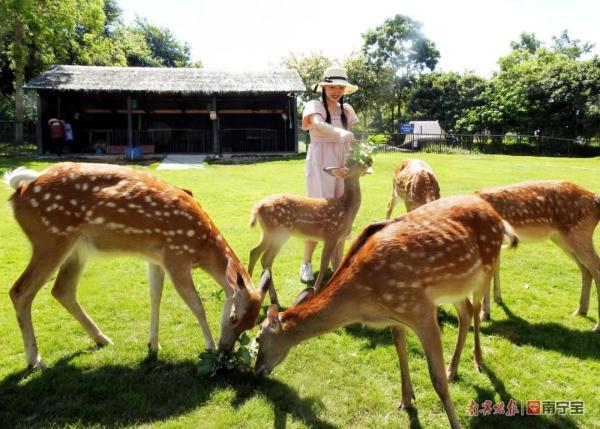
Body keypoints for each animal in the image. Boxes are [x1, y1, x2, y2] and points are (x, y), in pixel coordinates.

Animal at [3, 162, 270, 370]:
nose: (227, 350)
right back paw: (36, 360)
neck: (202, 246)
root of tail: (19, 188)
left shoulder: (156, 258)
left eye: (252, 323)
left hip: (77, 247)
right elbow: (196, 306)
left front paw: (153, 345)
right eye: (233, 317)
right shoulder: (176, 256)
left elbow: (155, 296)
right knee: (20, 290)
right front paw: (210, 348)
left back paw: (102, 339)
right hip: (50, 238)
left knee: (62, 289)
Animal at [247, 157, 370, 294]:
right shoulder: (331, 235)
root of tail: (257, 208)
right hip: (280, 231)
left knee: (254, 251)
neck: (346, 209)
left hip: (267, 233)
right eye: (359, 164)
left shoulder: (339, 238)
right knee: (266, 258)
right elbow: (323, 264)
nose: (369, 162)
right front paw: (316, 290)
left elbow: (338, 263)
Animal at [253, 196, 516, 428]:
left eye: (258, 339)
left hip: (486, 268)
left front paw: (454, 422)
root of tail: (498, 217)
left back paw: (478, 360)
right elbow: (400, 351)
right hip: (453, 288)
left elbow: (437, 380)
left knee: (477, 309)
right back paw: (453, 368)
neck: (365, 300)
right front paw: (406, 400)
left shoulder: (419, 309)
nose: (258, 371)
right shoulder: (397, 314)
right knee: (466, 312)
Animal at [476, 179, 600, 330]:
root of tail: (596, 199)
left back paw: (597, 326)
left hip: (579, 234)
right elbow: (496, 269)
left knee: (596, 268)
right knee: (586, 270)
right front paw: (497, 300)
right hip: (562, 238)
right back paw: (580, 311)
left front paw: (484, 314)